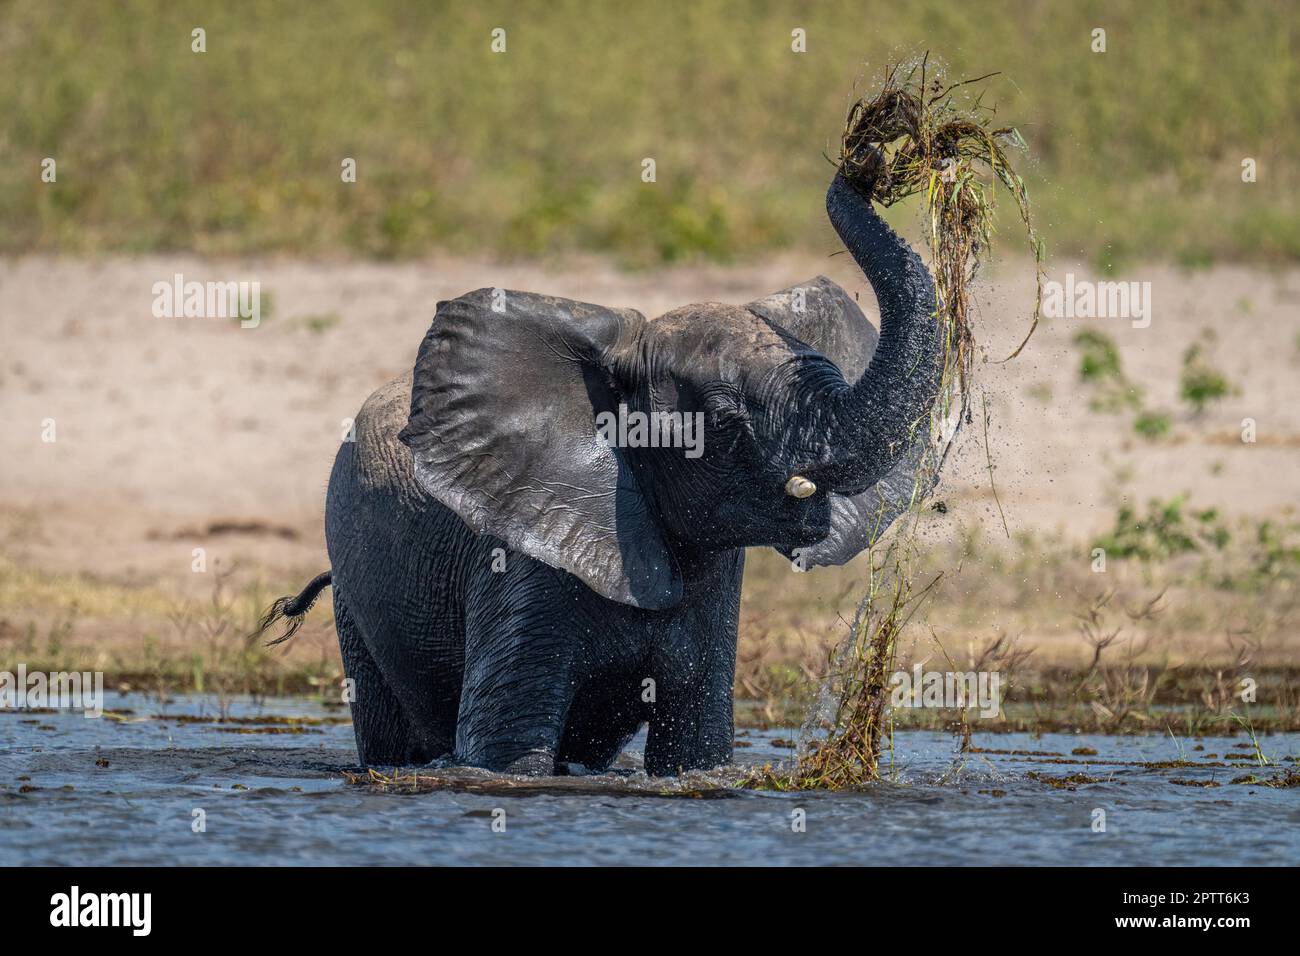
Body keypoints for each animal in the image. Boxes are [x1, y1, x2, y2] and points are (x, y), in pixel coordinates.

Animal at [255, 157, 942, 776]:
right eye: (723, 422)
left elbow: (695, 752)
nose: (867, 155)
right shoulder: (521, 561)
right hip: (356, 597)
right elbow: (506, 753)